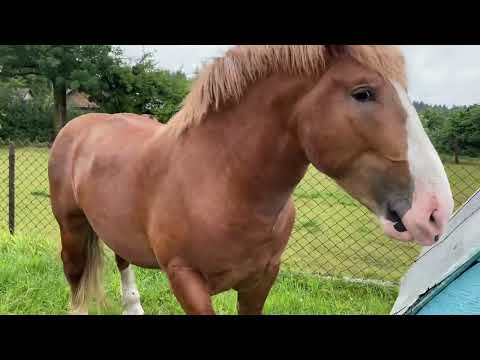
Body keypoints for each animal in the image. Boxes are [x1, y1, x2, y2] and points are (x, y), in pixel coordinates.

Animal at [47, 45, 454, 316]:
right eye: (363, 93)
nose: (435, 211)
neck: (221, 181)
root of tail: (81, 125)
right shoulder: (186, 280)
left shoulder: (262, 279)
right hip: (71, 227)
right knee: (74, 278)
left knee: (122, 260)